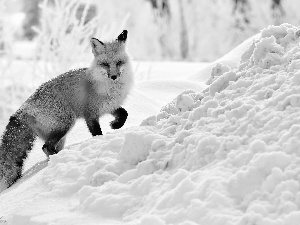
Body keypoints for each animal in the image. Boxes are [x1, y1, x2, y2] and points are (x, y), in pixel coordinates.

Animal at [0, 29, 134, 190]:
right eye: (105, 64)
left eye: (119, 63)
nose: (113, 76)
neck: (109, 88)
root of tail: (22, 109)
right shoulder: (90, 114)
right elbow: (97, 133)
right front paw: (102, 139)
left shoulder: (109, 106)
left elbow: (124, 113)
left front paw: (115, 125)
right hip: (65, 124)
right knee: (46, 147)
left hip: (60, 134)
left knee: (48, 147)